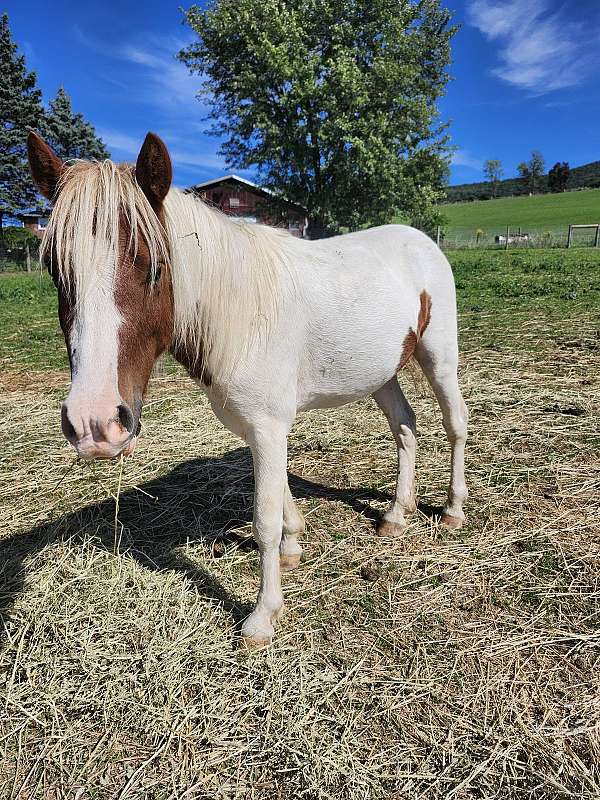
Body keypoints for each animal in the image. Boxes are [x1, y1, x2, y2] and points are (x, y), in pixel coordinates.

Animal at [28, 130, 468, 644]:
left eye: (152, 265)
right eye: (56, 269)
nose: (94, 423)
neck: (242, 315)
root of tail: (419, 239)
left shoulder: (268, 425)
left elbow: (264, 518)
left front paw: (262, 616)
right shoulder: (255, 426)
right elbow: (278, 494)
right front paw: (294, 545)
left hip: (438, 356)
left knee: (454, 423)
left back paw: (453, 509)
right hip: (381, 372)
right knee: (405, 426)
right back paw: (397, 514)